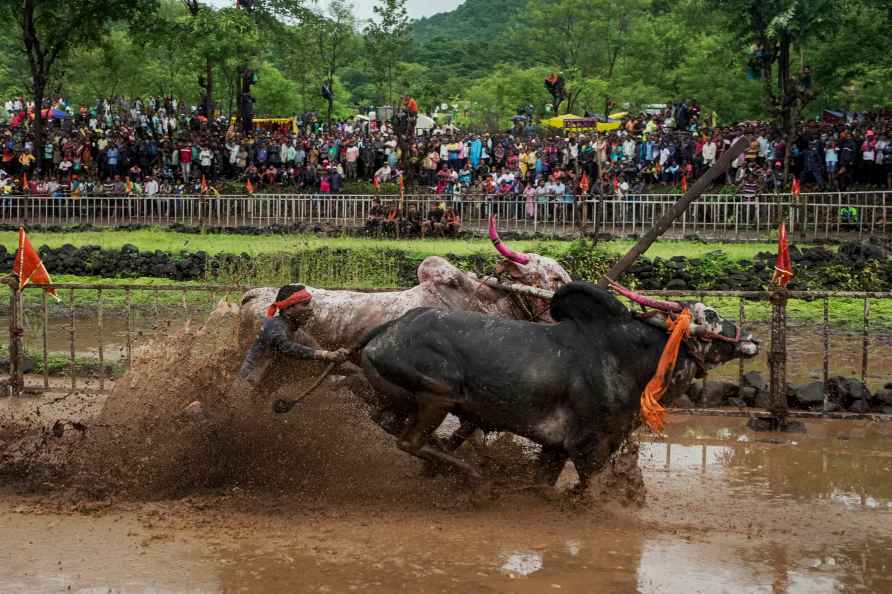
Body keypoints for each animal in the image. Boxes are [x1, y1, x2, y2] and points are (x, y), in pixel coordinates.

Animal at [358, 282, 756, 490]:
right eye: (711, 316)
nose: (749, 336)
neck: (633, 357)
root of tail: (383, 334)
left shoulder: (556, 447)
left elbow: (544, 484)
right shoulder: (590, 447)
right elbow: (587, 491)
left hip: (403, 401)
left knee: (398, 429)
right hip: (438, 394)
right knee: (410, 442)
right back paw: (474, 475)